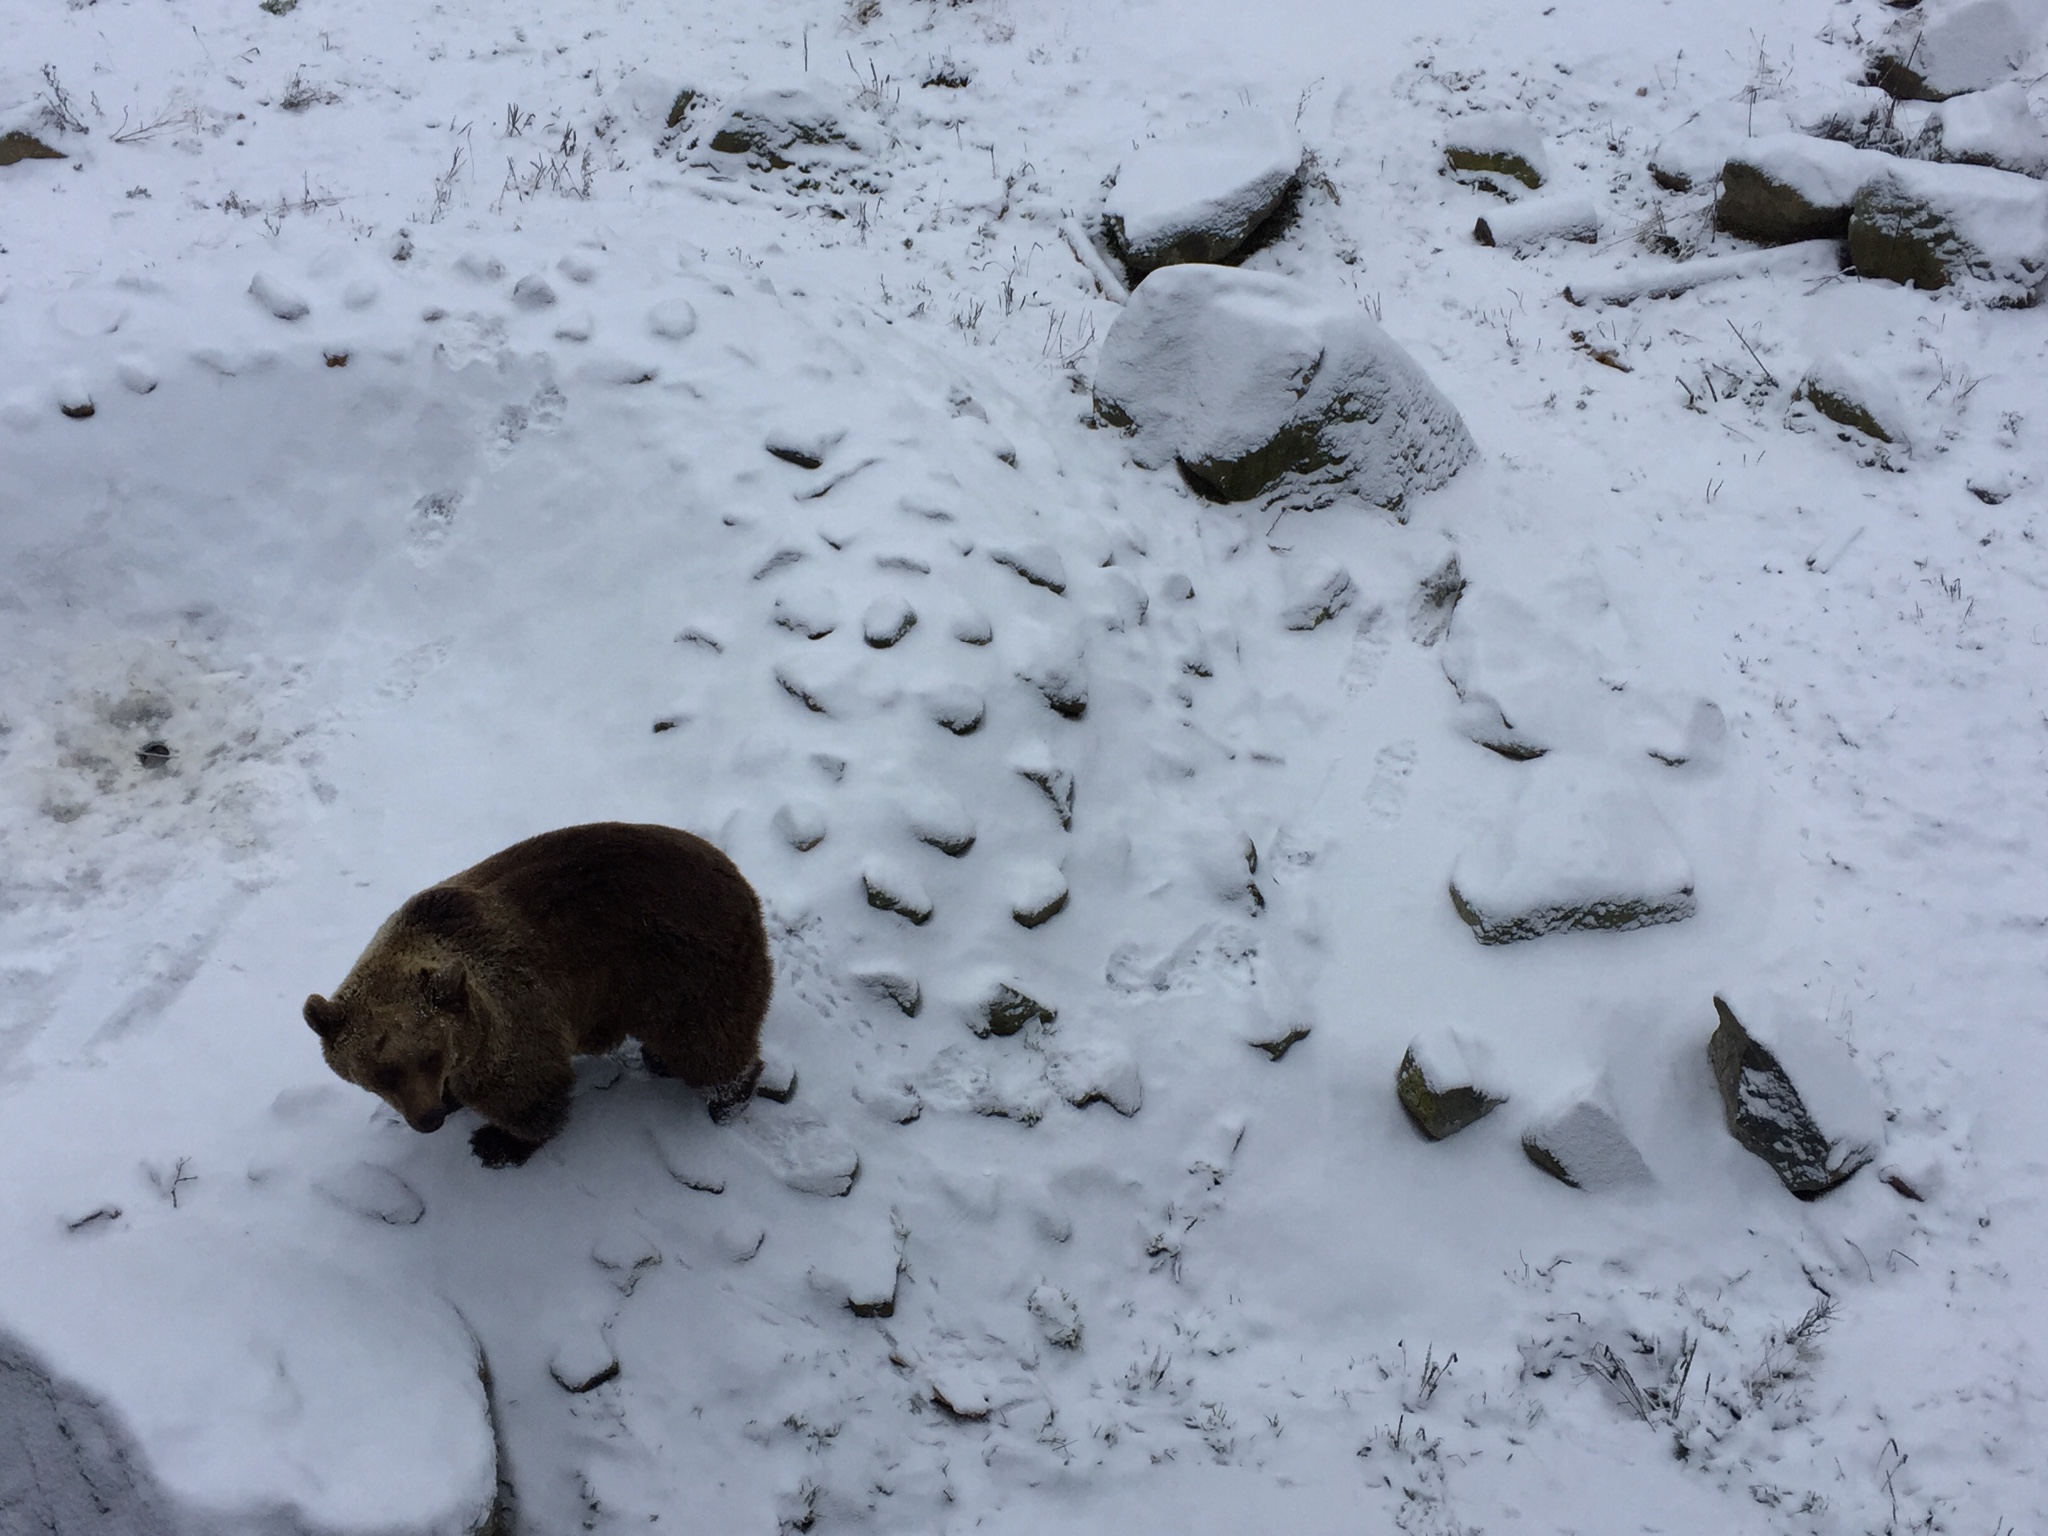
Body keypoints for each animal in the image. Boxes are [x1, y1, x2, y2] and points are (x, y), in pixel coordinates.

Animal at [305, 831, 774, 1163]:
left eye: (430, 1056)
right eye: (381, 1072)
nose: (428, 1119)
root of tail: (742, 883)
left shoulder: (512, 1014)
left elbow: (526, 1089)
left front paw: (498, 1142)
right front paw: (455, 1102)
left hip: (684, 967)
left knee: (705, 1041)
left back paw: (726, 1098)